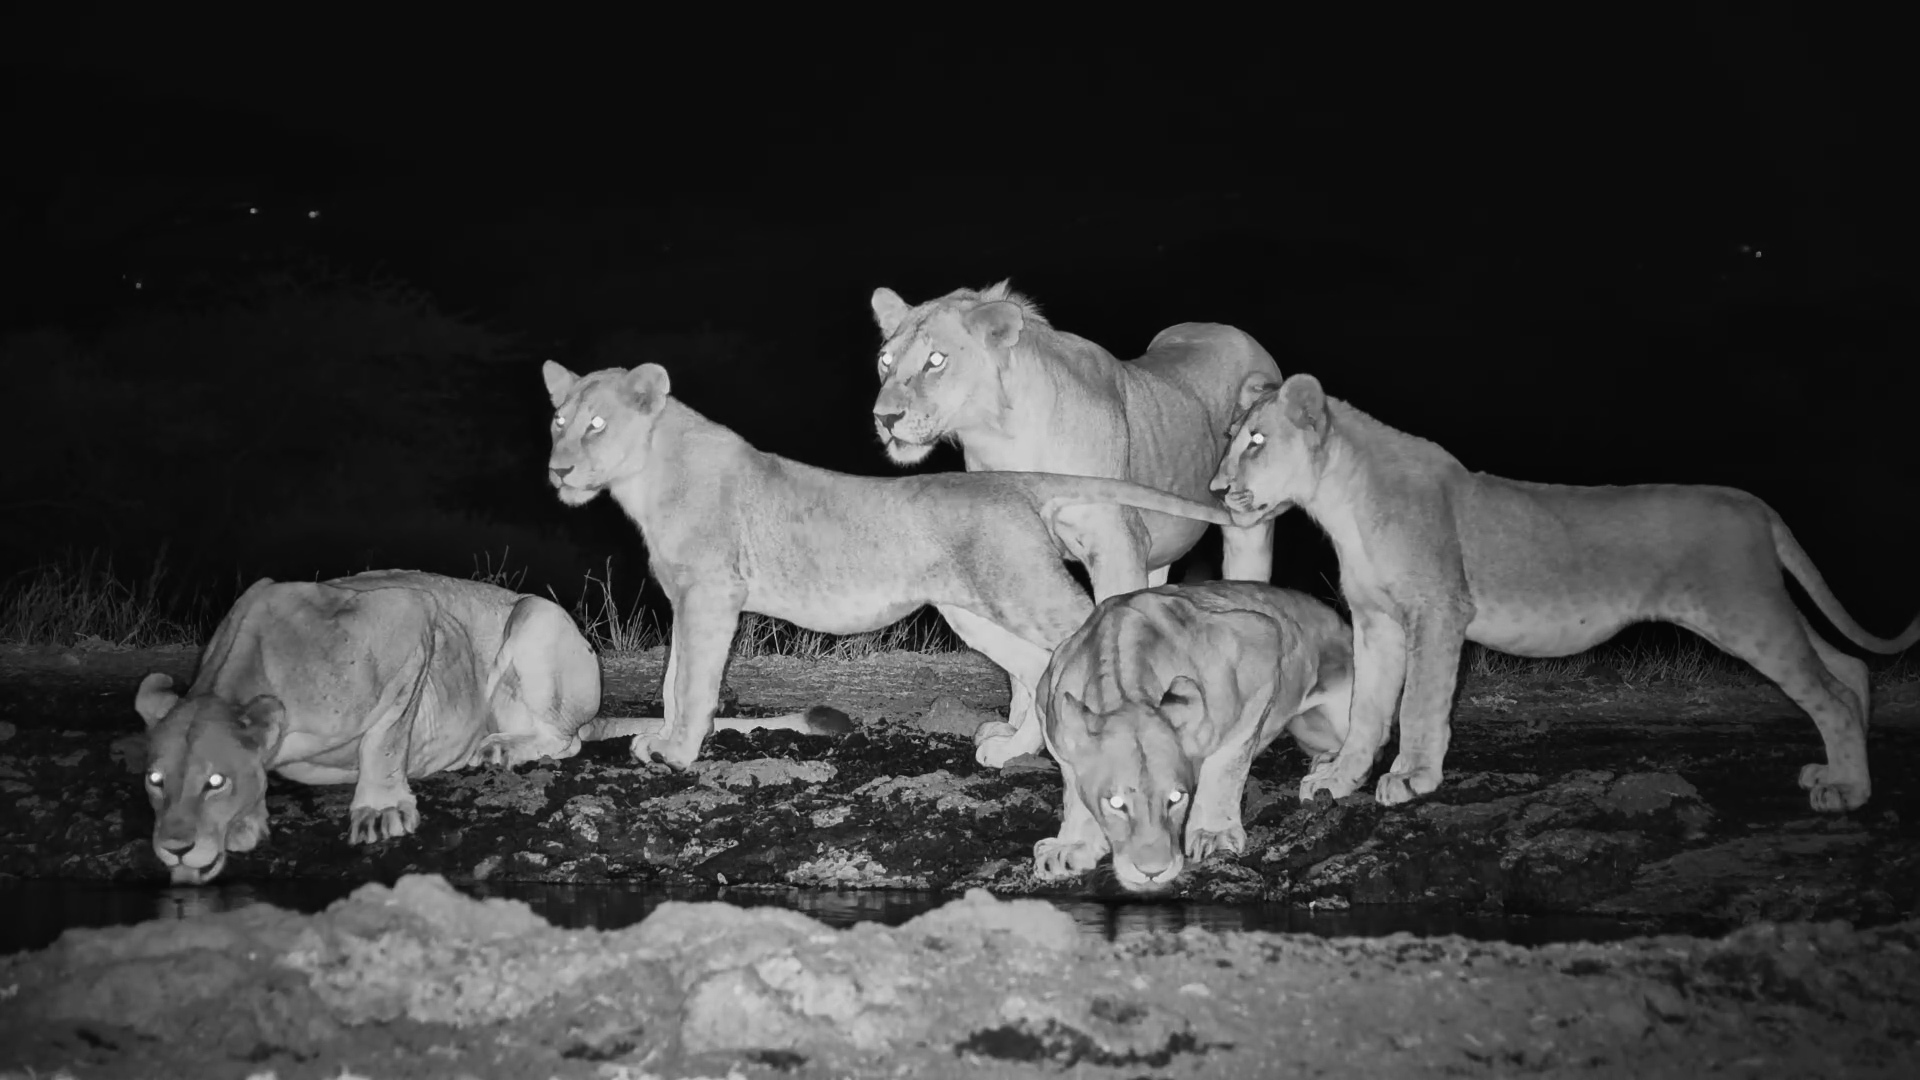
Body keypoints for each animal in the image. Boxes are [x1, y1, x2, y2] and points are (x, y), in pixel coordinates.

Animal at [134, 570, 847, 884]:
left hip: (532, 616)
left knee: (564, 738)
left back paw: (495, 750)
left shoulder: (407, 614)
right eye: (154, 781)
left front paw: (380, 809)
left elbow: (385, 737)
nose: (174, 849)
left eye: (216, 781)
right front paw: (246, 827)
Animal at [542, 360, 1241, 772]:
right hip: (974, 611)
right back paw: (1012, 749)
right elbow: (669, 679)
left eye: (597, 425)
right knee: (1039, 665)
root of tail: (1009, 481)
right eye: (559, 422)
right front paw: (660, 739)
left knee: (1094, 633)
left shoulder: (712, 595)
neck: (645, 478)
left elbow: (692, 683)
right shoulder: (685, 598)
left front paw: (679, 753)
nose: (557, 469)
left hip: (1023, 593)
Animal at [1035, 582, 1353, 892]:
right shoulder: (1049, 713)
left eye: (1176, 798)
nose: (1153, 872)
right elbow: (1073, 790)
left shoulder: (1262, 644)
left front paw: (1214, 832)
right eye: (1115, 803)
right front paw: (1073, 844)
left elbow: (1226, 765)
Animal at [1209, 373, 1920, 813]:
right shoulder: (1376, 621)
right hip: (1760, 612)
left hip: (1745, 613)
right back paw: (1841, 771)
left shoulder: (1438, 610)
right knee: (1848, 668)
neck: (1339, 500)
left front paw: (1411, 778)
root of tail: (1754, 505)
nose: (1216, 490)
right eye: (1229, 440)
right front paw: (1338, 779)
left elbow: (1419, 705)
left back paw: (1848, 790)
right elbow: (1367, 709)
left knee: (1829, 691)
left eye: (1256, 441)